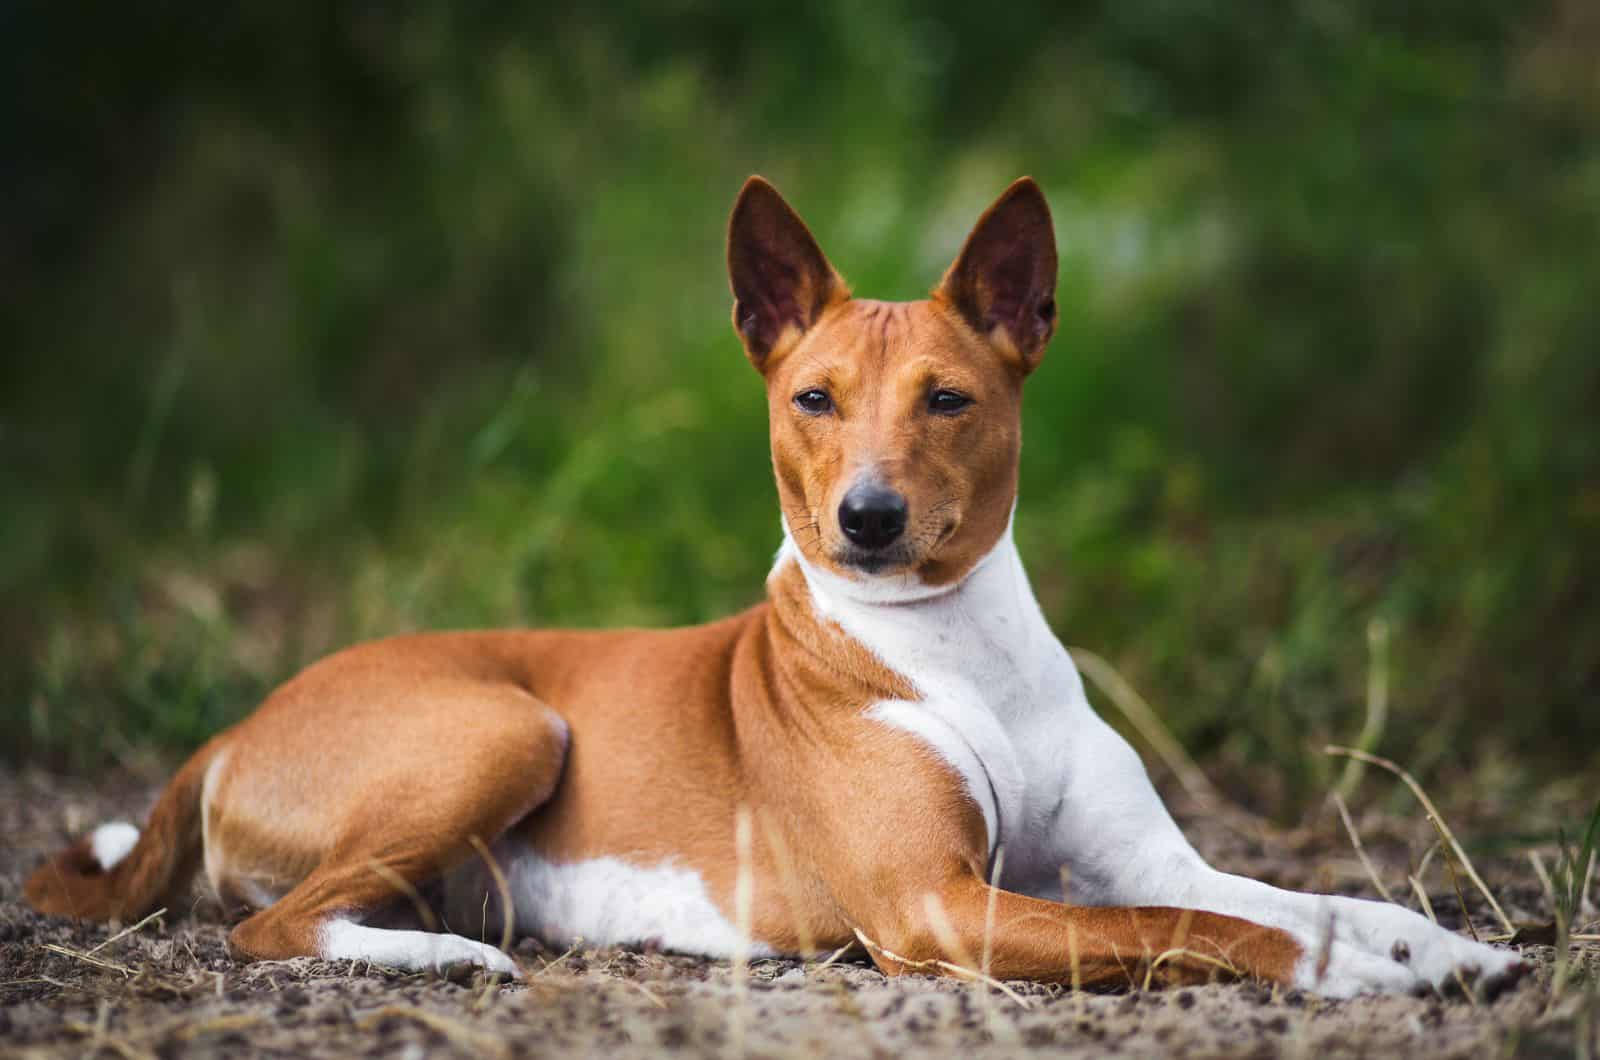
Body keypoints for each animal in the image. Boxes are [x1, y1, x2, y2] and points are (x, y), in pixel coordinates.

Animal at [31, 174, 1516, 999]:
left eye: (948, 399)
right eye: (814, 398)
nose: (866, 517)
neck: (958, 654)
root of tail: (241, 723)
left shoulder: (1143, 856)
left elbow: (1285, 895)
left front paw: (1436, 947)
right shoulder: (936, 907)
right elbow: (1192, 927)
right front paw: (1347, 977)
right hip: (507, 724)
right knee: (272, 925)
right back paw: (455, 964)